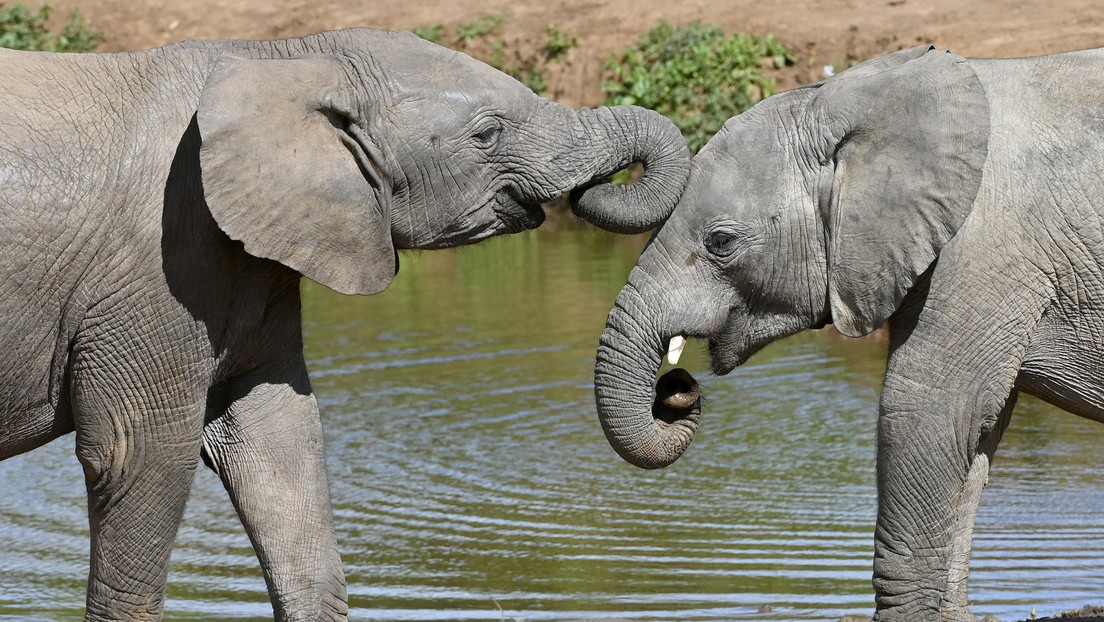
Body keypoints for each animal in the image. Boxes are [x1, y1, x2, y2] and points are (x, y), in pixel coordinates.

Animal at [0, 28, 688, 622]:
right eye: (487, 134)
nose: (675, 390)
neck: (279, 59)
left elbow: (278, 441)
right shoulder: (155, 275)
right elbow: (136, 454)